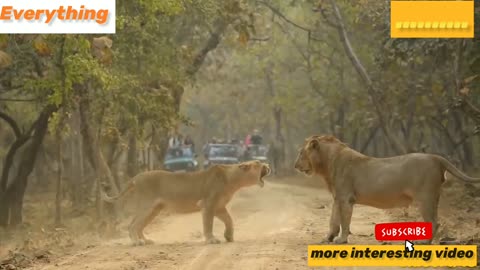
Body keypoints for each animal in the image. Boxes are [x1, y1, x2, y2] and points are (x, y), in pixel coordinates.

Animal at [101, 160, 270, 247]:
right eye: (258, 163)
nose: (268, 165)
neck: (233, 180)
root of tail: (136, 177)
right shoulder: (208, 204)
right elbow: (208, 224)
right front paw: (211, 240)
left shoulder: (219, 207)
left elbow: (230, 220)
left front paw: (228, 237)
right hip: (146, 206)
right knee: (132, 225)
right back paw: (137, 242)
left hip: (154, 209)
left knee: (139, 225)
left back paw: (146, 240)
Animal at [292, 135, 480, 245]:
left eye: (301, 153)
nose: (294, 166)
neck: (327, 163)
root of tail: (436, 157)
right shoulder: (338, 197)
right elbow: (333, 219)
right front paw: (328, 238)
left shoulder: (346, 198)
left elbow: (344, 221)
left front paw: (342, 240)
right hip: (435, 197)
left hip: (425, 197)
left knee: (434, 222)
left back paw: (424, 242)